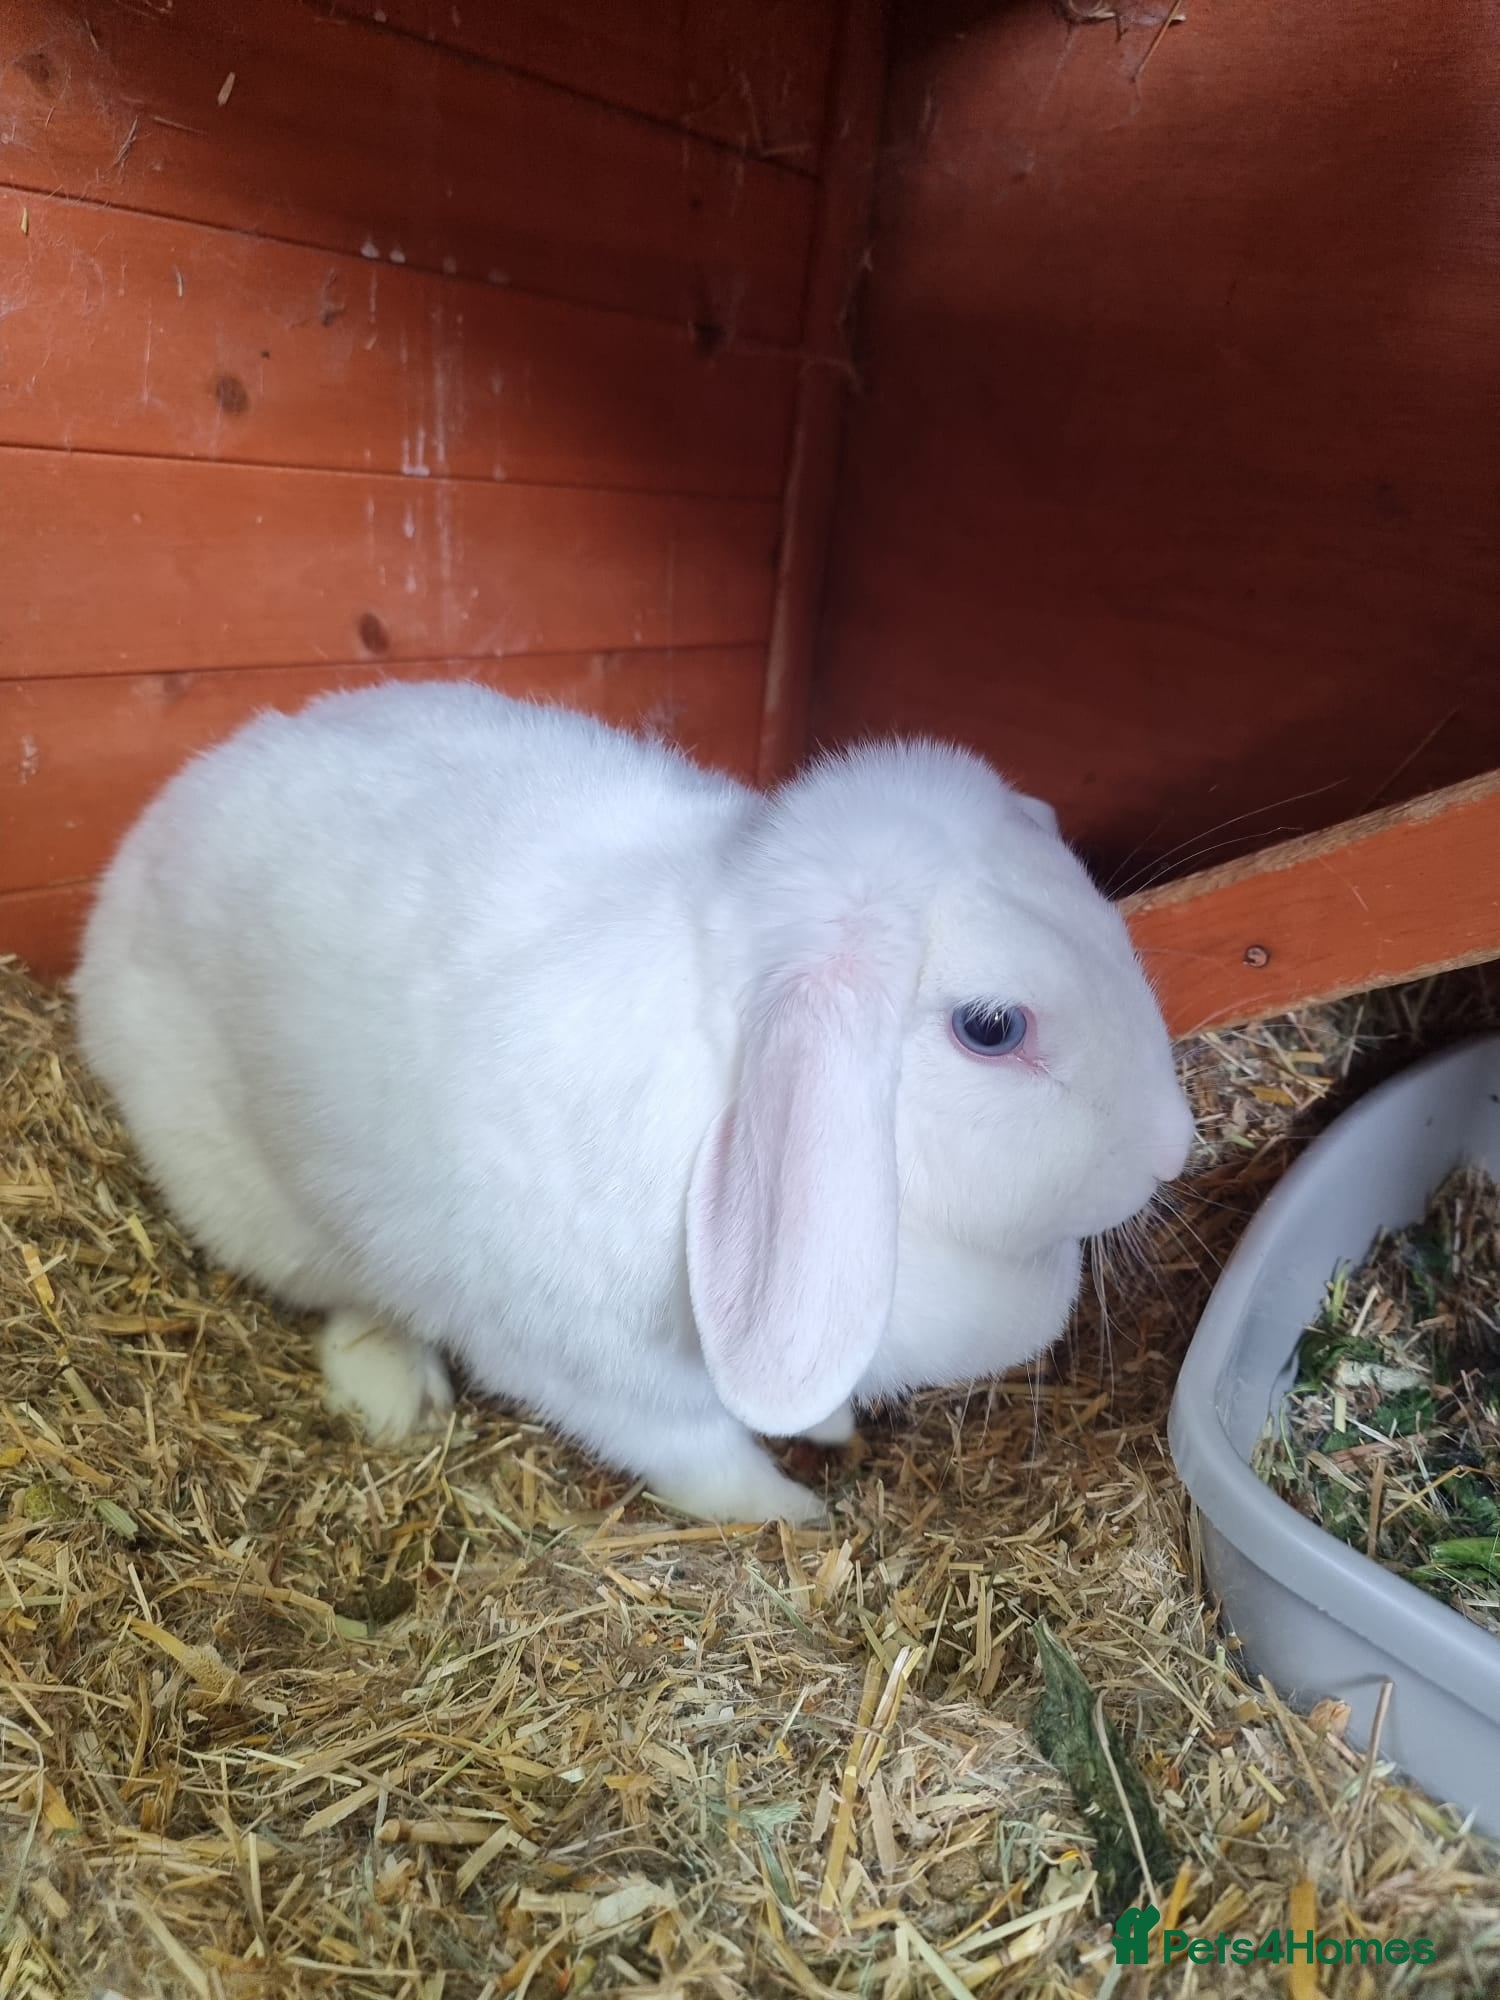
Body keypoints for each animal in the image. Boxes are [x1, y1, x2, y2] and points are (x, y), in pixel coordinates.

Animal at [73, 680, 1194, 1525]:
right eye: (993, 1028)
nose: (1174, 1149)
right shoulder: (597, 1374)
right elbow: (702, 1458)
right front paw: (796, 1513)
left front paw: (829, 1429)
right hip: (262, 1207)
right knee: (349, 1295)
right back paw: (393, 1392)